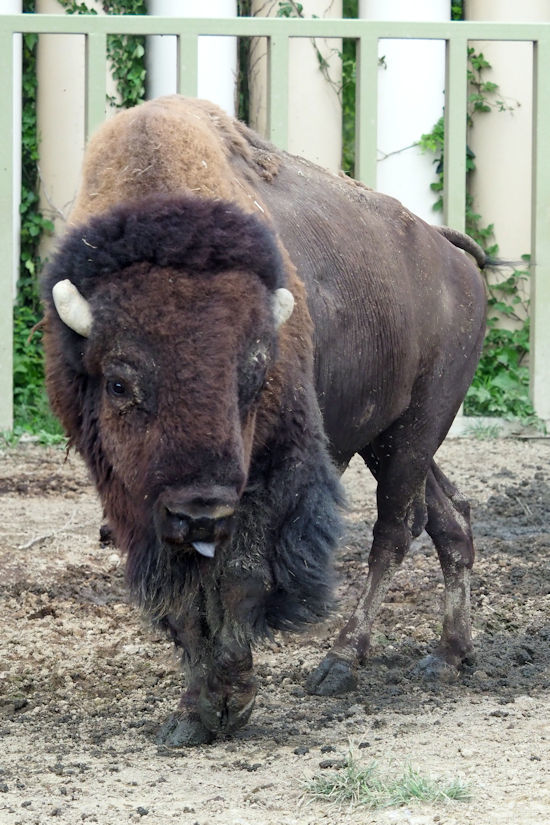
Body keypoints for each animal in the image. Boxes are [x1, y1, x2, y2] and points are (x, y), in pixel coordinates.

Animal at [42, 96, 488, 748]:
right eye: (120, 383)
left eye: (253, 377)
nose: (200, 510)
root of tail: (449, 249)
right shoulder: (135, 497)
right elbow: (184, 597)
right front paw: (192, 715)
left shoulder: (268, 478)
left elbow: (239, 577)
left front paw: (233, 700)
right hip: (391, 437)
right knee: (449, 517)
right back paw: (447, 655)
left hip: (418, 428)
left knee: (394, 531)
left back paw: (339, 664)